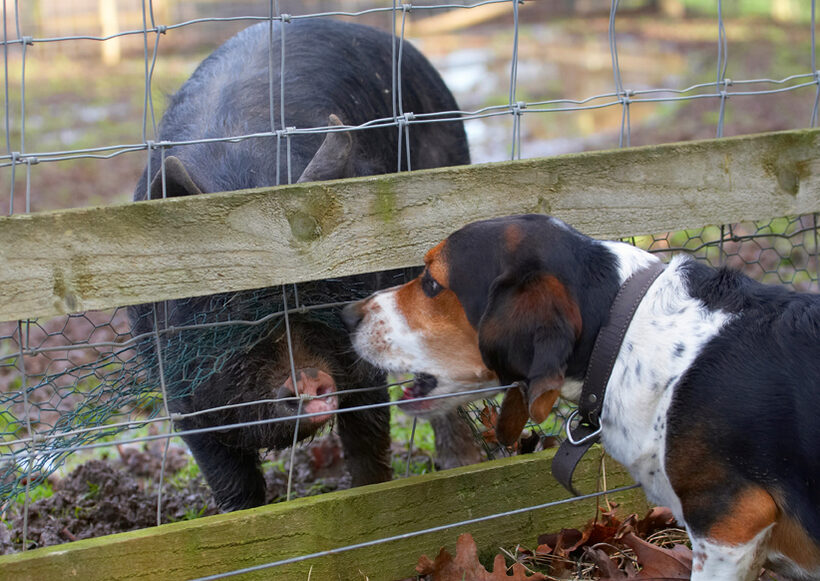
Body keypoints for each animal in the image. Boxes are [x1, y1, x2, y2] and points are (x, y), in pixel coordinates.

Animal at [128, 18, 473, 511]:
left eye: (321, 292)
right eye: (227, 309)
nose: (308, 378)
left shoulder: (358, 361)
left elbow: (367, 444)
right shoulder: (182, 396)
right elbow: (232, 485)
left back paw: (462, 464)